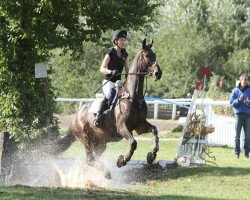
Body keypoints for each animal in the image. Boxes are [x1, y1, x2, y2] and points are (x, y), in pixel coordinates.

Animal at [55, 38, 162, 178]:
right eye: (147, 56)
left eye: (155, 55)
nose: (158, 73)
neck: (133, 96)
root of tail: (75, 118)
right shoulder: (122, 127)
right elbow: (133, 143)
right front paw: (122, 160)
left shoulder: (140, 125)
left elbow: (154, 131)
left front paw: (151, 156)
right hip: (86, 138)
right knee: (89, 160)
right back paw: (106, 173)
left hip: (100, 144)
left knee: (89, 161)